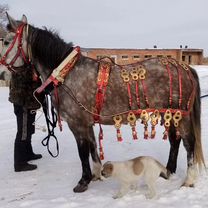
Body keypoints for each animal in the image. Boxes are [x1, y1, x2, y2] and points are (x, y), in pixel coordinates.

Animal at [0, 13, 205, 193]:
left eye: (6, 41)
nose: (2, 73)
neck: (67, 72)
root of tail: (186, 67)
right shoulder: (87, 123)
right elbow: (92, 148)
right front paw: (96, 175)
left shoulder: (77, 123)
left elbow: (83, 152)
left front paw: (83, 182)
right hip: (168, 114)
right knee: (174, 141)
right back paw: (168, 172)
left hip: (181, 116)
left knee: (188, 143)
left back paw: (188, 180)